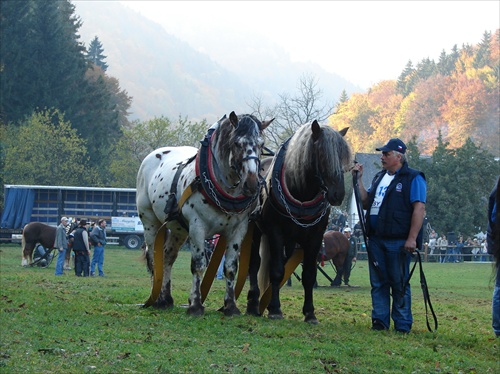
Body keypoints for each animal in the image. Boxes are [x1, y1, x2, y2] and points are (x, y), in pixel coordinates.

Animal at [137, 111, 272, 316]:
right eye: (237, 143)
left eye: (261, 144)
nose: (251, 184)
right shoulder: (197, 227)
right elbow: (199, 266)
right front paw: (195, 305)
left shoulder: (238, 229)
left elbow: (231, 268)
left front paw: (230, 306)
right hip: (150, 222)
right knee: (154, 260)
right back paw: (156, 297)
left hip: (178, 229)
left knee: (168, 257)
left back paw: (165, 299)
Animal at [247, 121, 352, 322]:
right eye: (322, 154)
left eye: (342, 154)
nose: (338, 194)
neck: (301, 191)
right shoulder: (275, 232)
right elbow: (276, 270)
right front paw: (275, 309)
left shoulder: (315, 237)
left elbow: (309, 274)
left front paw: (310, 312)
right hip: (257, 230)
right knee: (255, 263)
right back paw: (253, 302)